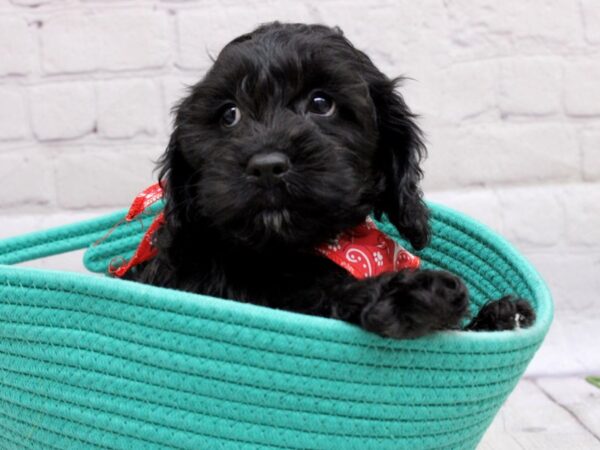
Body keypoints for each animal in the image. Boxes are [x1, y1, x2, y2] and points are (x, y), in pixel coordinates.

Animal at [125, 22, 536, 338]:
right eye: (230, 115)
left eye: (321, 104)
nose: (266, 166)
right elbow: (323, 298)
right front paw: (417, 293)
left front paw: (500, 316)